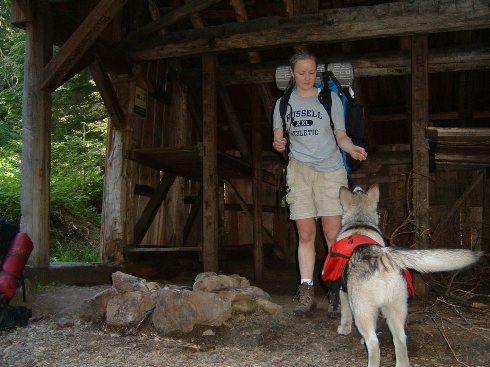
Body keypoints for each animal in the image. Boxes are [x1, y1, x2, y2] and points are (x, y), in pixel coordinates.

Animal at [330, 185, 482, 367]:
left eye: (357, 190)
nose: (358, 186)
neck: (360, 223)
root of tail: (382, 256)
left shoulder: (343, 290)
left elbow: (345, 314)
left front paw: (344, 329)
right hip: (396, 309)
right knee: (400, 339)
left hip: (362, 310)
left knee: (374, 343)